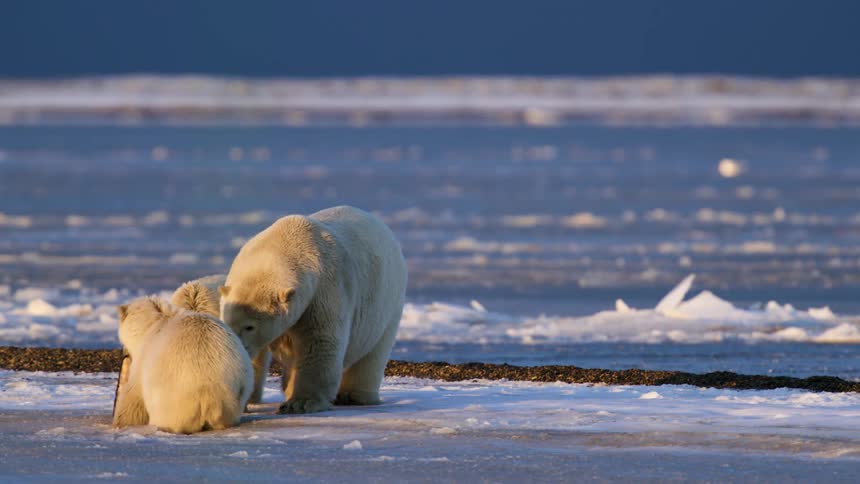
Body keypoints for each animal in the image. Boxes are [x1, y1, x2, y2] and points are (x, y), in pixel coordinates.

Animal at [112, 296, 254, 433]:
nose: (124, 353)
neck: (154, 322)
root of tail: (208, 391)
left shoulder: (143, 357)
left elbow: (134, 396)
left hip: (170, 402)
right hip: (233, 397)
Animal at [219, 205, 407, 414]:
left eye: (249, 327)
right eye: (227, 322)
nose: (237, 347)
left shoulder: (324, 289)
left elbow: (319, 340)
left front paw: (300, 403)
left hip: (387, 302)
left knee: (373, 352)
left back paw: (353, 395)